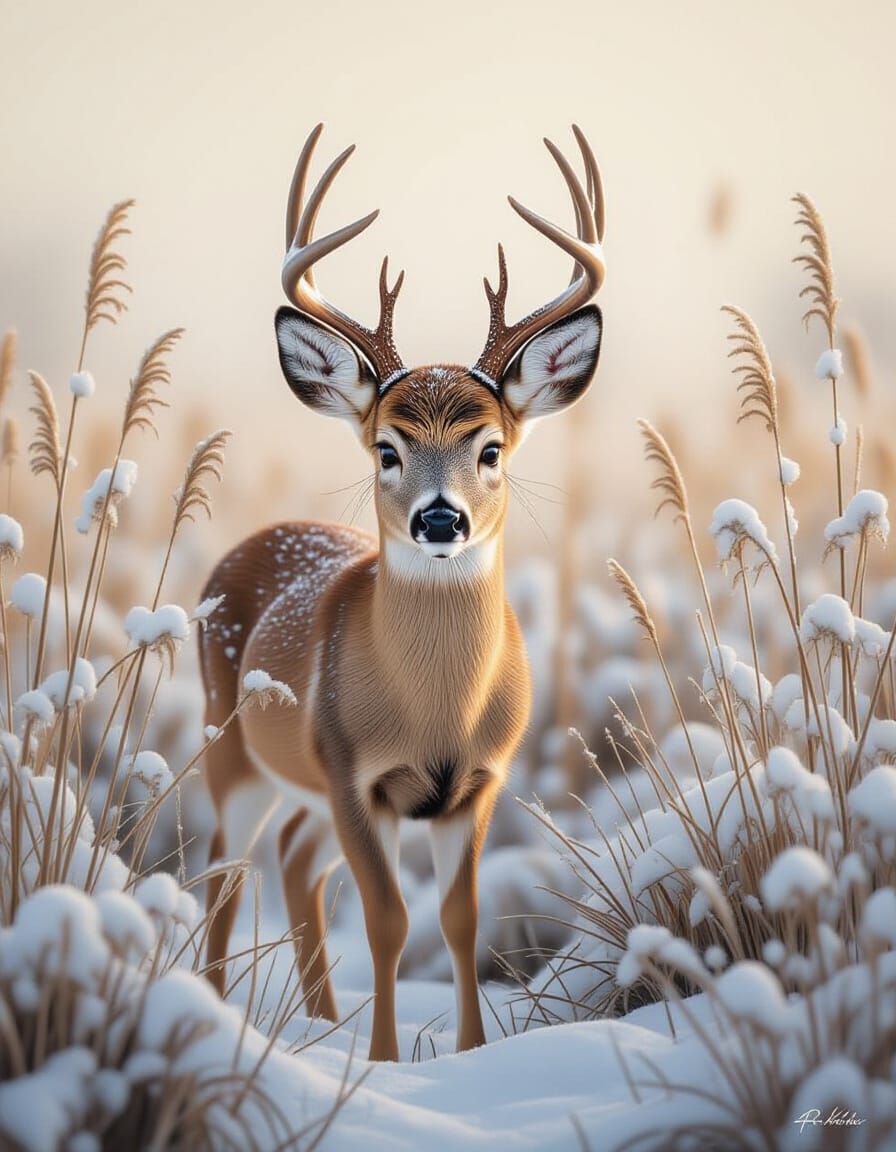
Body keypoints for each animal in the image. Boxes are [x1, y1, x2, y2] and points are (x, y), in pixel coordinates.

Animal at [198, 123, 606, 1062]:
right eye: (387, 447)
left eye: (491, 447)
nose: (440, 518)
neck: (435, 710)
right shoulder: (354, 772)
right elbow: (386, 920)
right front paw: (385, 1061)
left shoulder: (481, 782)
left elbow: (460, 919)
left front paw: (470, 1054)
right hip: (236, 749)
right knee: (225, 869)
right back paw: (214, 1008)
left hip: (303, 786)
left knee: (295, 863)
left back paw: (317, 1020)